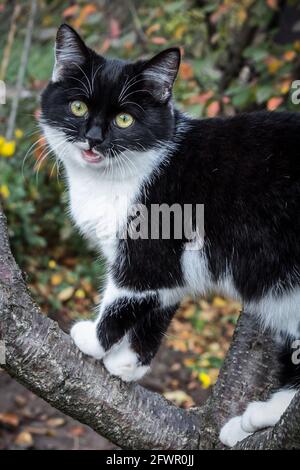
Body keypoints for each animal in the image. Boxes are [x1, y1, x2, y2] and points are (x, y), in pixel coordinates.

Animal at [40, 23, 300, 448]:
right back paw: (257, 418)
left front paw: (93, 340)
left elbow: (126, 295)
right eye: (77, 107)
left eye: (125, 119)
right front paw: (130, 363)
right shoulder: (172, 264)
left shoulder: (152, 243)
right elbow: (160, 300)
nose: (93, 138)